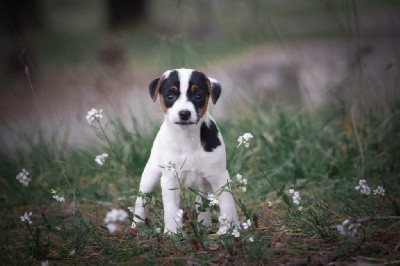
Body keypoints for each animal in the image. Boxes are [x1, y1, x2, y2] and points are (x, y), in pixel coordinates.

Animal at [134, 68, 238, 233]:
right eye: (170, 96)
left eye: (198, 96)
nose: (184, 113)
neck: (187, 138)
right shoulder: (170, 179)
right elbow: (171, 209)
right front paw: (171, 233)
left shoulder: (219, 176)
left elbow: (227, 204)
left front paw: (232, 230)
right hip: (149, 178)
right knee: (140, 202)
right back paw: (135, 227)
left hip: (203, 184)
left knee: (201, 201)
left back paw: (205, 225)